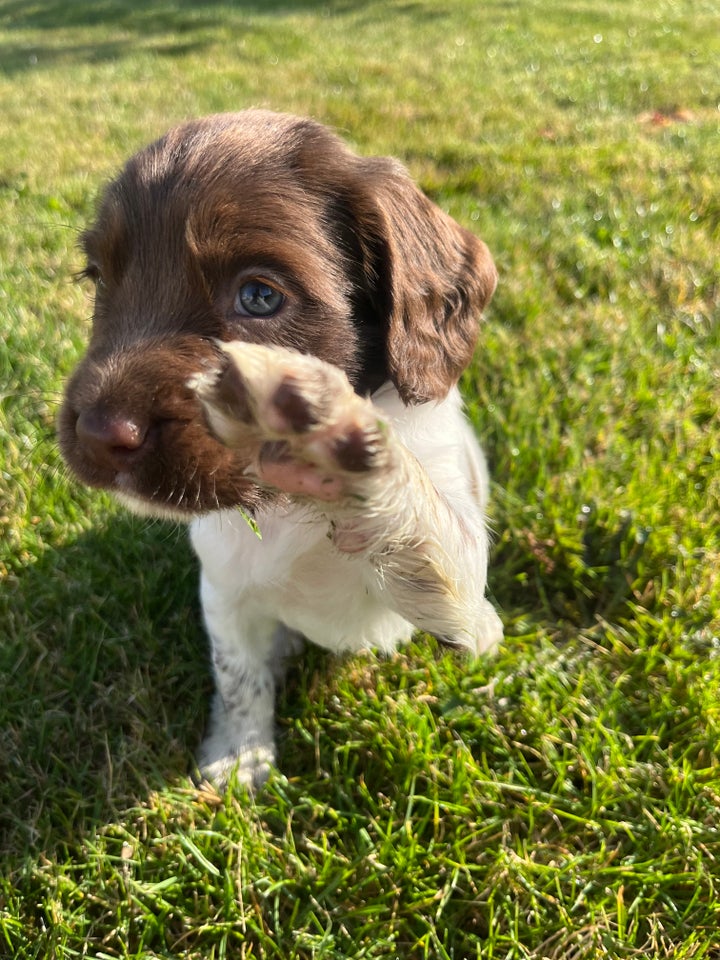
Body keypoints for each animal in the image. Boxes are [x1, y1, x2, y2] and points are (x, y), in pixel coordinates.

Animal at [56, 112, 504, 788]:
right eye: (100, 277)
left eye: (260, 297)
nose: (99, 433)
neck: (290, 506)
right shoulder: (224, 590)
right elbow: (239, 676)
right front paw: (241, 755)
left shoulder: (464, 608)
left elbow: (426, 534)